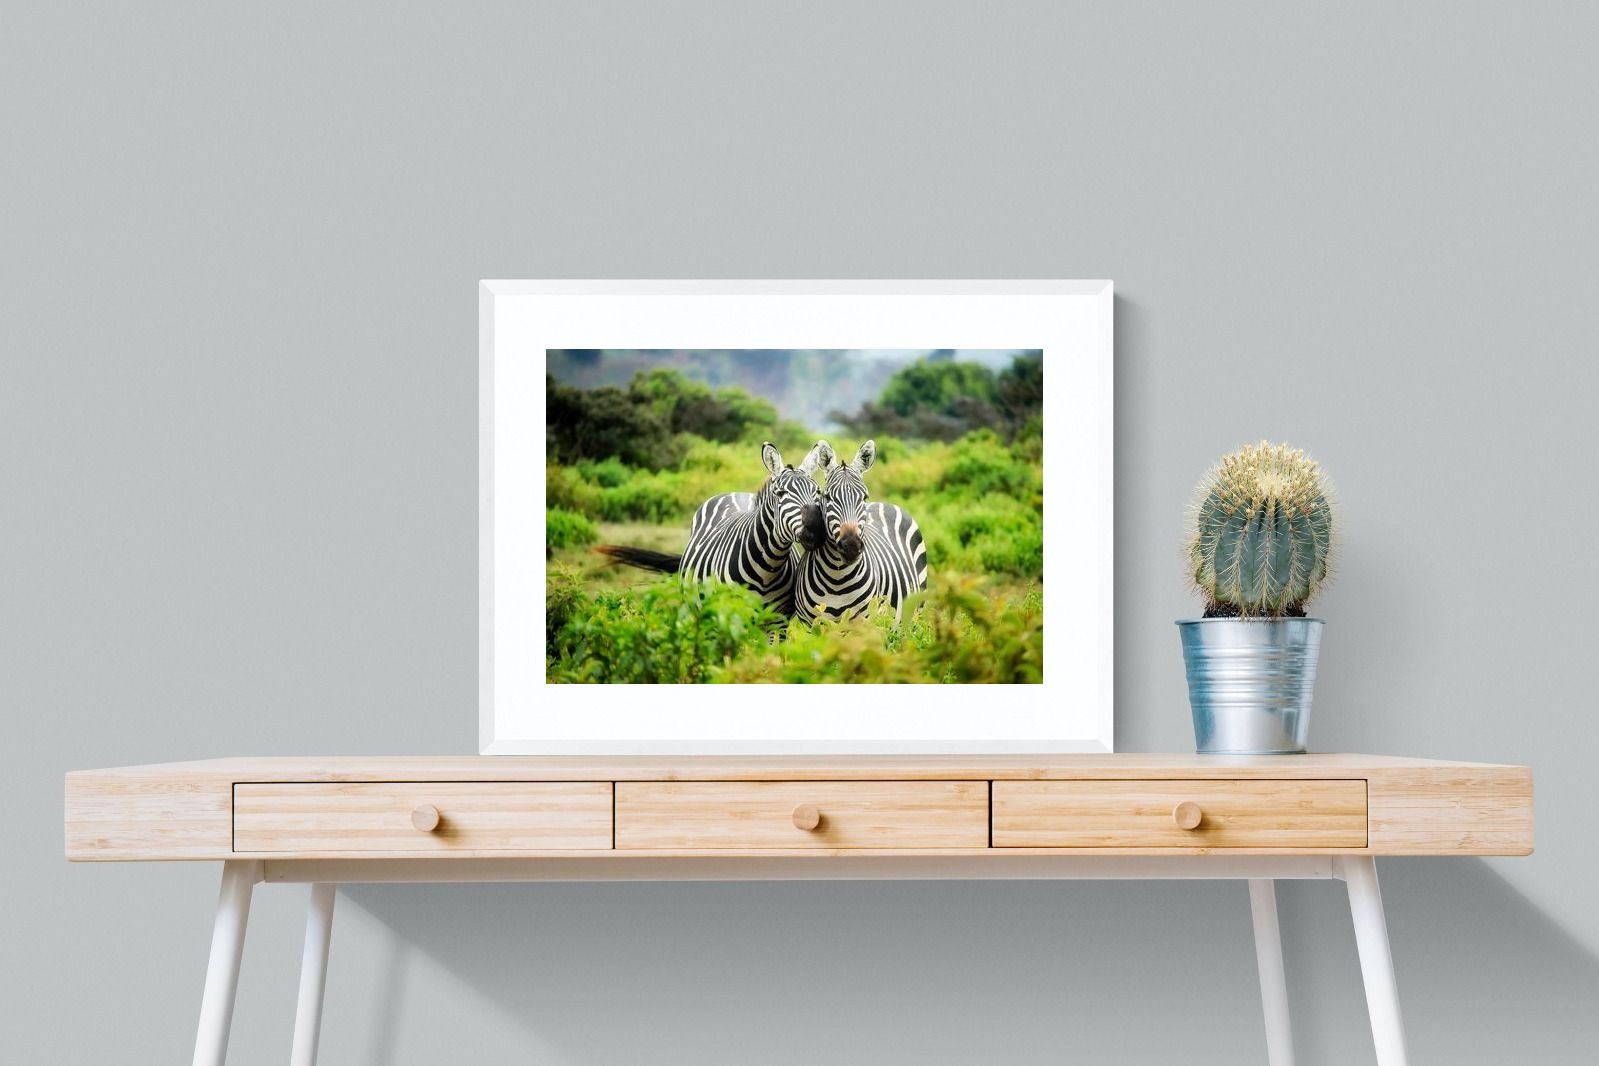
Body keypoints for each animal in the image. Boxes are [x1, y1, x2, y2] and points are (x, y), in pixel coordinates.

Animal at [595, 440, 831, 613]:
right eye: (780, 494)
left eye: (817, 492)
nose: (817, 530)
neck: (768, 568)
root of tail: (735, 492)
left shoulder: (777, 620)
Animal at [793, 440, 929, 622]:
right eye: (827, 497)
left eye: (864, 497)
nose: (851, 547)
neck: (837, 579)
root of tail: (885, 503)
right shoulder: (811, 624)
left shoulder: (863, 622)